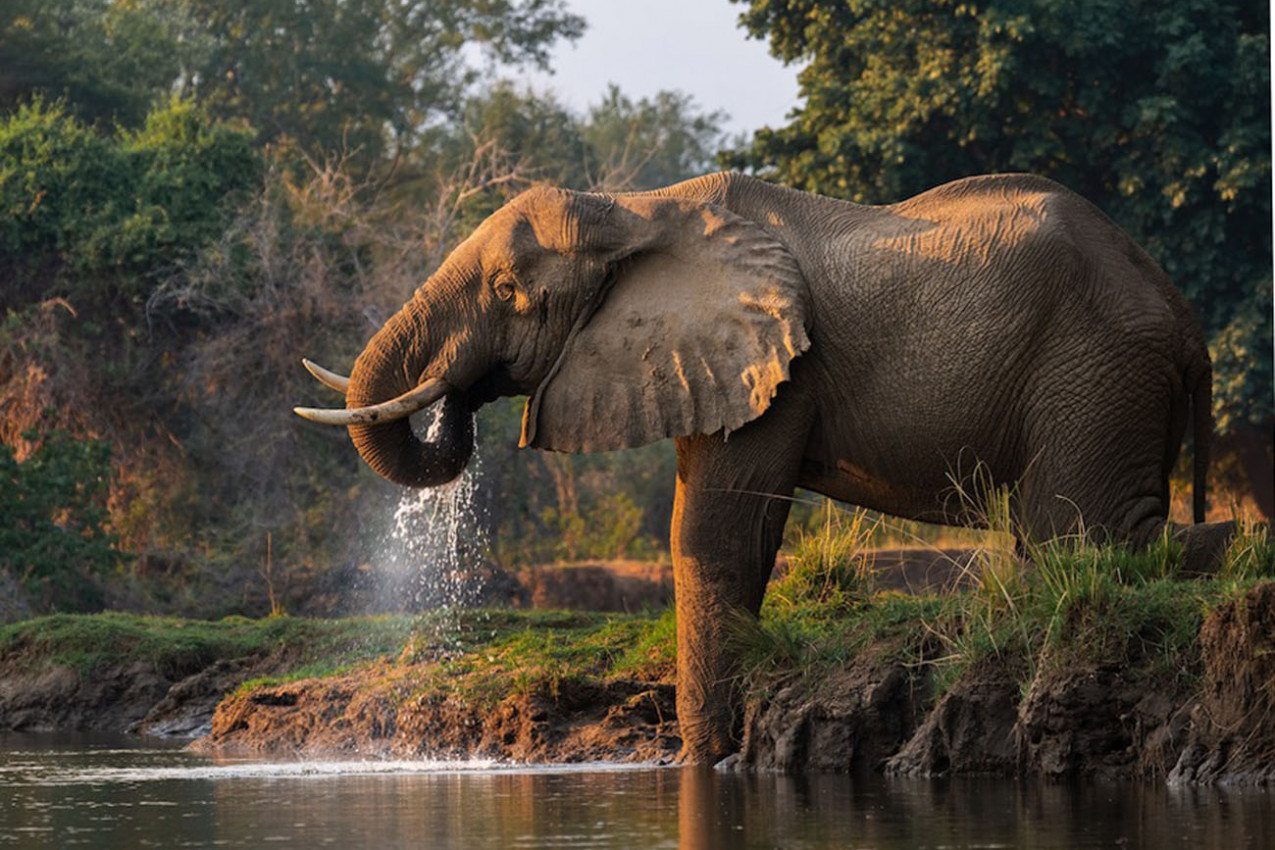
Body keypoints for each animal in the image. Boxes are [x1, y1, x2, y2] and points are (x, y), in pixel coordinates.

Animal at [293, 170, 1208, 764]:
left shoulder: (776, 367)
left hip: (1094, 368)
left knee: (1076, 535)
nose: (456, 395)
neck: (635, 207)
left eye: (511, 291)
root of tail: (1181, 312)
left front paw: (707, 764)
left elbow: (715, 532)